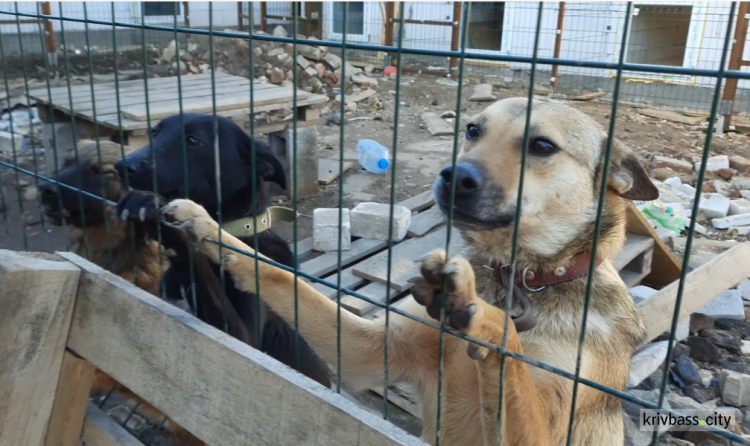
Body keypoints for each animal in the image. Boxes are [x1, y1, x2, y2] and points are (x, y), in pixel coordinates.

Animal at [160, 98, 656, 446]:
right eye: (473, 130)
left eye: (542, 146)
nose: (454, 177)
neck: (517, 279)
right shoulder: (369, 350)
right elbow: (281, 276)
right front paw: (207, 227)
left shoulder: (539, 432)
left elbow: (507, 341)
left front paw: (472, 307)